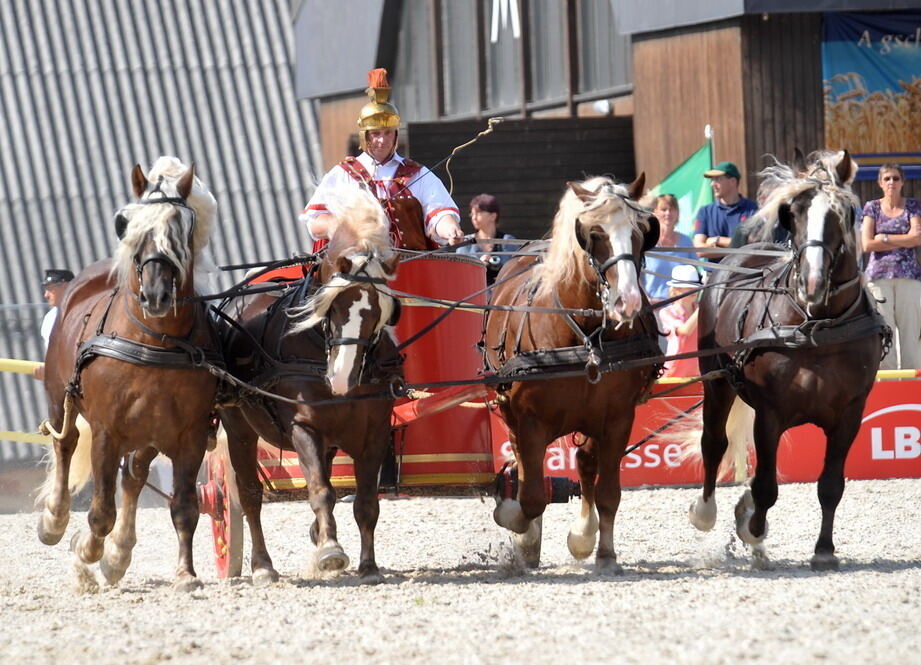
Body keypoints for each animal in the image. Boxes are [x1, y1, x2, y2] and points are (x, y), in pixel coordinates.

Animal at [36, 157, 220, 592]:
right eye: (128, 224)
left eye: (183, 226)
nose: (156, 294)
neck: (156, 340)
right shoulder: (107, 431)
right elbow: (101, 511)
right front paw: (85, 551)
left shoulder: (189, 434)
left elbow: (185, 507)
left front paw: (185, 574)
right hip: (60, 397)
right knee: (65, 443)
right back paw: (55, 520)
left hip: (150, 432)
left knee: (135, 476)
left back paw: (119, 553)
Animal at [219, 180, 402, 580]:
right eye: (334, 306)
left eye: (381, 311)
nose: (342, 379)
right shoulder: (304, 427)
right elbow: (320, 491)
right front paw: (331, 550)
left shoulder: (375, 432)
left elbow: (366, 501)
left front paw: (368, 565)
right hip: (238, 427)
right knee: (250, 494)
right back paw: (263, 566)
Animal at [482, 174, 660, 568]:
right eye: (593, 233)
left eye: (643, 231)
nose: (628, 301)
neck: (584, 335)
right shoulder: (530, 419)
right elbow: (531, 494)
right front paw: (519, 526)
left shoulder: (618, 418)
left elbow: (608, 491)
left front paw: (603, 552)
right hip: (510, 411)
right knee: (525, 467)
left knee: (585, 463)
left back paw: (584, 534)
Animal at [688, 150, 888, 572]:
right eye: (792, 213)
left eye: (844, 213)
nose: (812, 282)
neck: (816, 323)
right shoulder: (770, 412)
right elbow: (765, 486)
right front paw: (753, 530)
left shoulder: (850, 413)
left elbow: (831, 485)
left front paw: (824, 550)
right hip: (715, 380)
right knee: (713, 442)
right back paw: (706, 511)